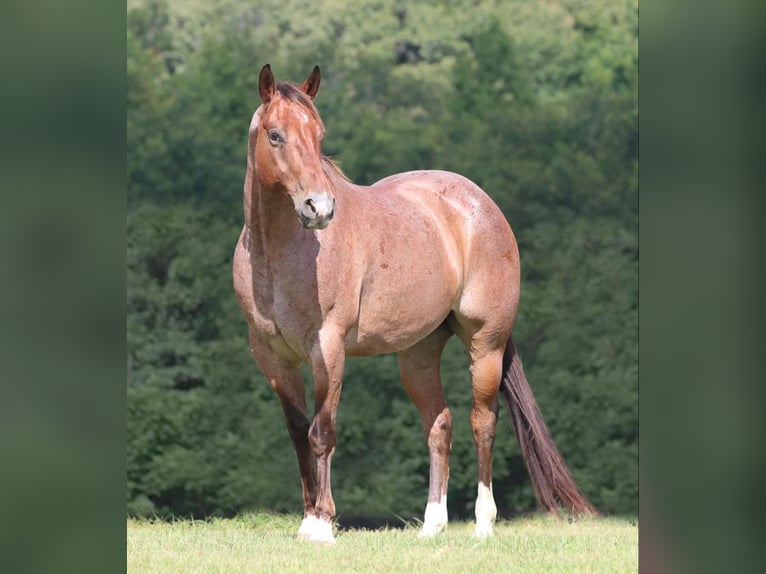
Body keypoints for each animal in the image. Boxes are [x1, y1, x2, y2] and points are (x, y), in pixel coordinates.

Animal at [234, 65, 600, 548]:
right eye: (275, 135)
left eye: (319, 134)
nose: (320, 208)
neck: (281, 253)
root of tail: (480, 204)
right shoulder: (272, 357)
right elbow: (298, 433)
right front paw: (308, 519)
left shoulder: (327, 349)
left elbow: (322, 432)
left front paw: (323, 524)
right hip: (418, 354)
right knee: (439, 425)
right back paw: (432, 526)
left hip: (486, 344)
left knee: (482, 421)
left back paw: (483, 524)